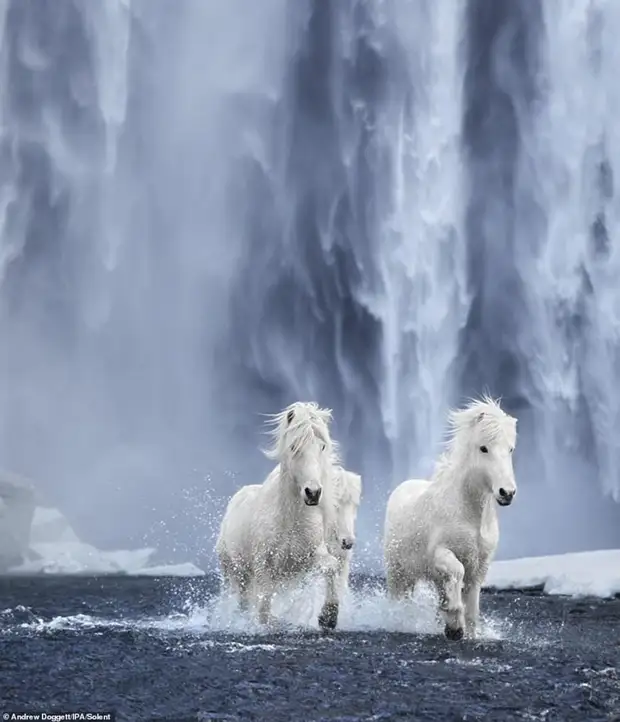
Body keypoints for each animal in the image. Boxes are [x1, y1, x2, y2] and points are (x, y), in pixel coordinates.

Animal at [213, 402, 340, 628]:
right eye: (294, 446)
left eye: (322, 446)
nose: (313, 492)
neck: (290, 521)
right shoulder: (263, 565)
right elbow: (263, 608)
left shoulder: (306, 559)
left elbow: (332, 566)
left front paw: (329, 617)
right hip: (234, 572)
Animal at [382, 396, 520, 640]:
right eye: (483, 448)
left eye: (510, 449)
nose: (507, 493)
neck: (469, 514)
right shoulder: (440, 553)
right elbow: (457, 571)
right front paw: (454, 623)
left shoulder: (479, 567)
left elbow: (472, 607)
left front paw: (463, 630)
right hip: (398, 572)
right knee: (400, 599)